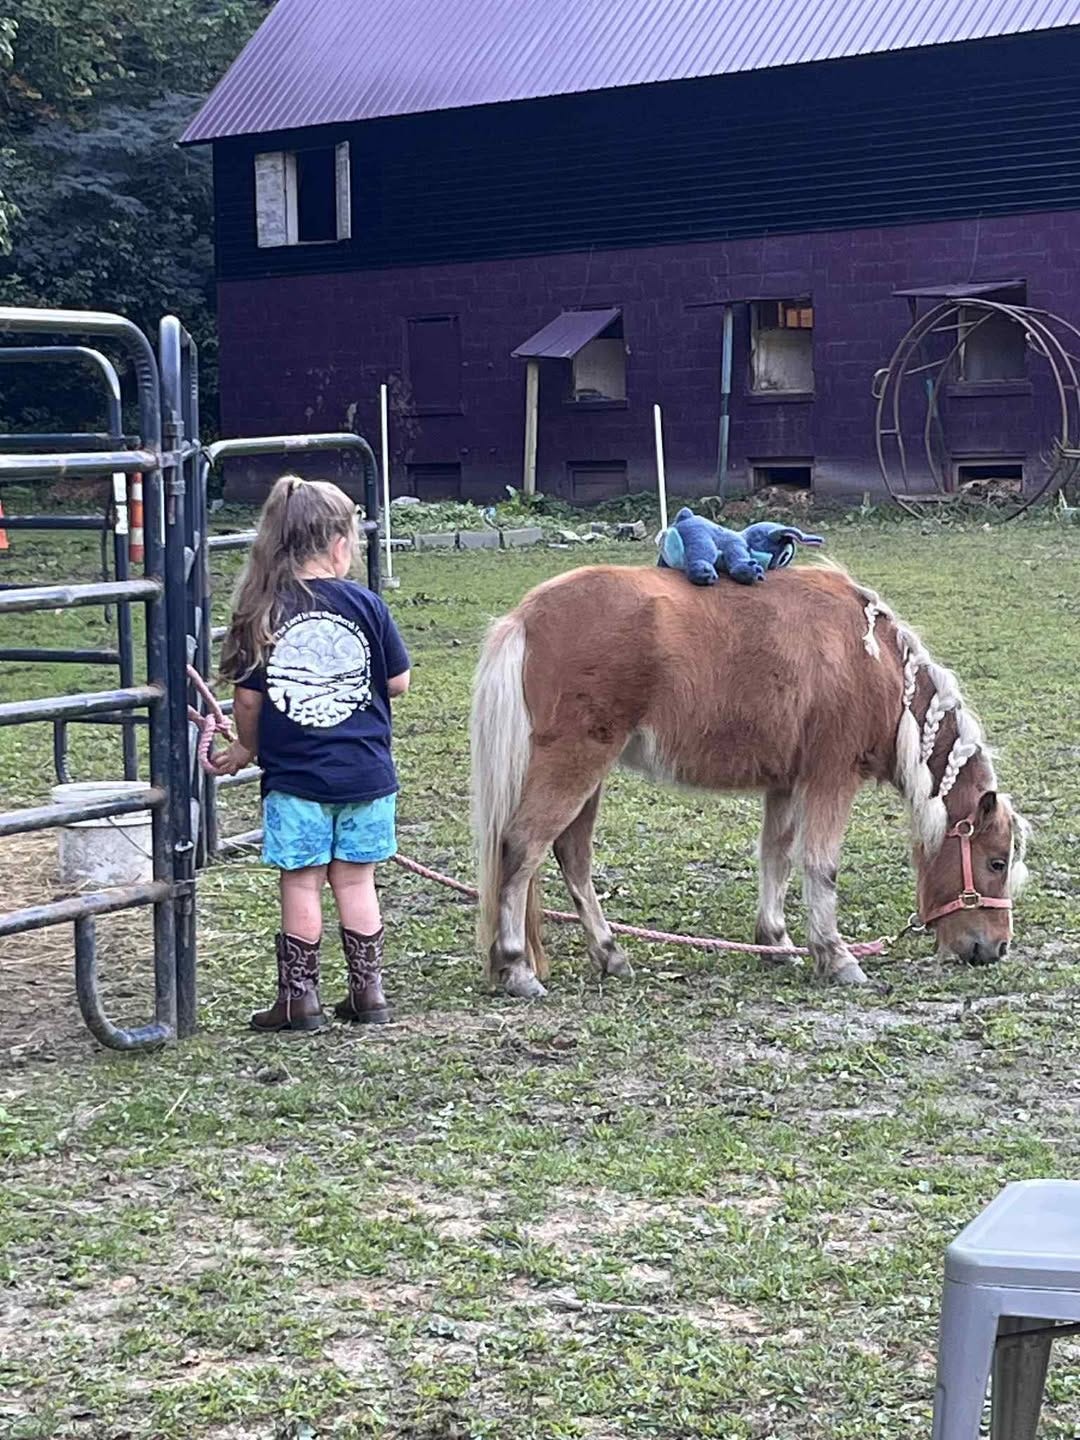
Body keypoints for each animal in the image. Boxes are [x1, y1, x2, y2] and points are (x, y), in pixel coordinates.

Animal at [470, 562, 1029, 998]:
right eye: (996, 862)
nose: (994, 948)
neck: (874, 661)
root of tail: (525, 618)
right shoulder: (830, 778)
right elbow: (820, 865)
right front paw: (837, 957)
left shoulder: (786, 782)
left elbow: (775, 858)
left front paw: (776, 942)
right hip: (575, 763)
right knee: (522, 848)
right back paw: (517, 967)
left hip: (588, 773)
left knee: (572, 857)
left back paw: (610, 955)